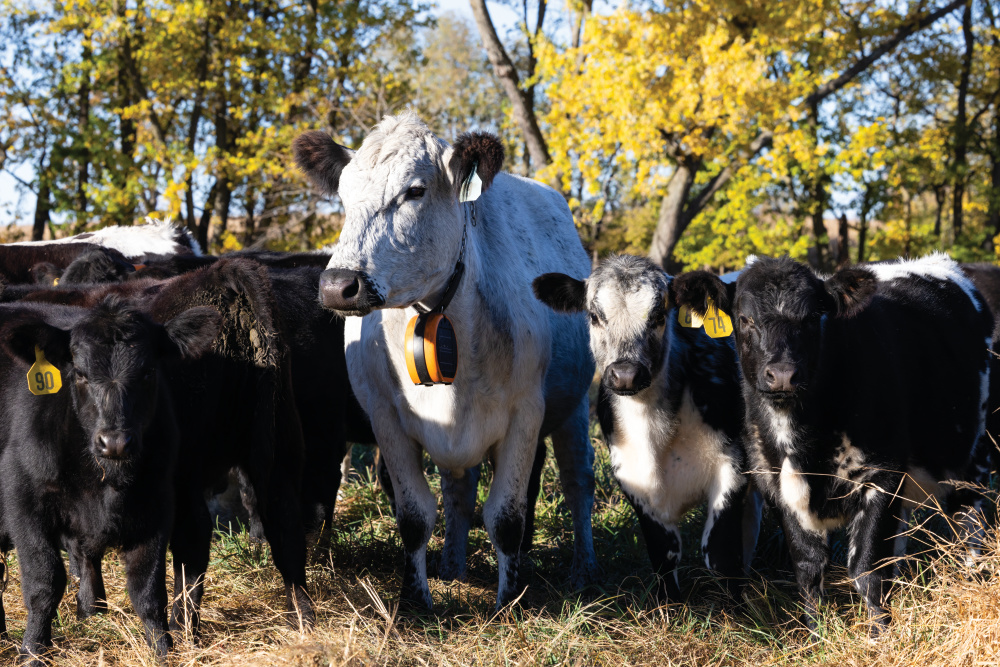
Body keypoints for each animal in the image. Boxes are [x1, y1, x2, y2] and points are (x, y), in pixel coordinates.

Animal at [0, 297, 220, 665]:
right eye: (80, 374)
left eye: (148, 372)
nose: (115, 442)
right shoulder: (24, 499)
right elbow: (44, 583)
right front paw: (32, 651)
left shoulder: (157, 502)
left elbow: (147, 589)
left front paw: (162, 650)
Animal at [293, 112, 598, 610]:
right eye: (344, 195)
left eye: (414, 191)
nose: (338, 285)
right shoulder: (386, 419)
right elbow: (414, 514)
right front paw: (416, 599)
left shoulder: (525, 412)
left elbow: (506, 516)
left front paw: (509, 602)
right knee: (459, 489)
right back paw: (452, 566)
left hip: (575, 408)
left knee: (578, 484)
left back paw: (582, 568)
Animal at [533, 255, 760, 602]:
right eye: (594, 316)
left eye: (658, 315)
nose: (626, 374)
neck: (656, 435)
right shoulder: (633, 480)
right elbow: (664, 554)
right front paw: (671, 606)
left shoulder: (732, 467)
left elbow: (720, 555)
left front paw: (737, 608)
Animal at [672, 253, 993, 633]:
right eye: (744, 319)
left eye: (813, 317)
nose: (783, 375)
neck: (802, 448)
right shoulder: (777, 486)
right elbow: (808, 568)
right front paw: (816, 633)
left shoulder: (882, 475)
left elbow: (868, 566)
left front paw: (879, 634)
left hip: (975, 458)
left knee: (972, 525)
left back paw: (975, 578)